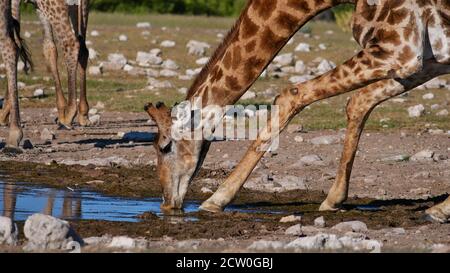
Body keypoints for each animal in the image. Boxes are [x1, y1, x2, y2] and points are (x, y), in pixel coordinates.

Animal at [146, 0, 450, 223]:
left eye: (164, 146)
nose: (167, 203)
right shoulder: (427, 58)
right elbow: (358, 102)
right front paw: (333, 199)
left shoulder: (401, 49)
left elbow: (290, 94)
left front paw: (215, 200)